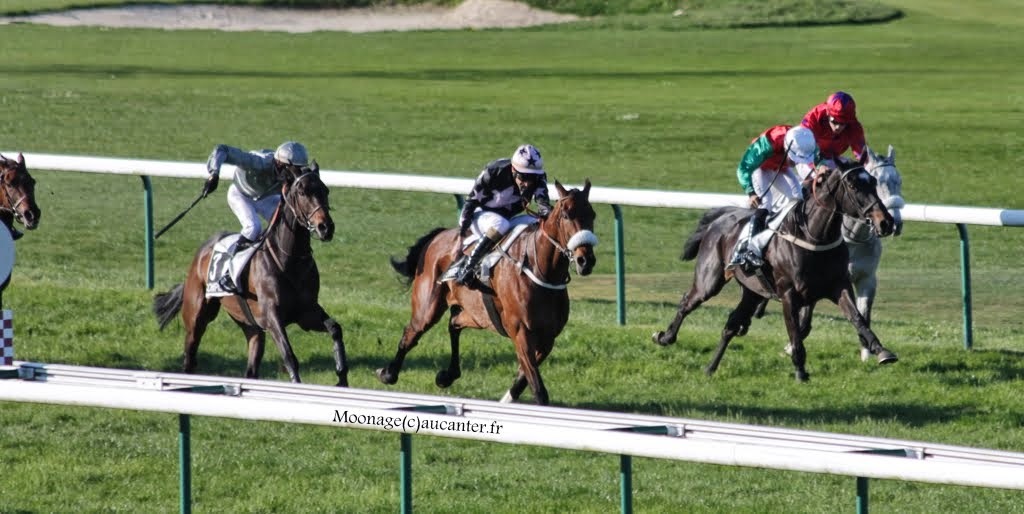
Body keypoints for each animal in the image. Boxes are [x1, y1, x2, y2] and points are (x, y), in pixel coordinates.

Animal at [152, 168, 352, 384]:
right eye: (302, 192)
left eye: (325, 190)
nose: (326, 227)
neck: (290, 261)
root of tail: (202, 252)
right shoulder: (272, 315)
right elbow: (289, 355)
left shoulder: (306, 312)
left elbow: (335, 329)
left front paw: (342, 377)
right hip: (196, 318)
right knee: (190, 357)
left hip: (251, 326)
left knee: (251, 367)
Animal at [376, 179, 598, 403]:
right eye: (566, 215)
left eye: (592, 215)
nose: (585, 260)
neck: (540, 271)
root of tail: (438, 236)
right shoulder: (521, 333)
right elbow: (537, 387)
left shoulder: (547, 338)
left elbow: (522, 379)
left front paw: (507, 400)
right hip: (428, 306)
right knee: (412, 333)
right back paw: (388, 373)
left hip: (477, 314)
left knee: (454, 323)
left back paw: (447, 375)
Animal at [651, 161, 901, 380]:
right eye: (853, 185)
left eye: (872, 182)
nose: (886, 222)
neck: (814, 237)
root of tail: (720, 218)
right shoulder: (789, 294)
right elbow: (795, 334)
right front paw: (800, 372)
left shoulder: (838, 285)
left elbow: (857, 318)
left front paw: (881, 351)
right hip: (710, 279)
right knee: (687, 301)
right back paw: (664, 337)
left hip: (752, 291)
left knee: (730, 325)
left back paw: (710, 367)